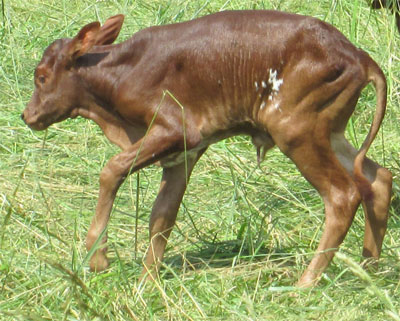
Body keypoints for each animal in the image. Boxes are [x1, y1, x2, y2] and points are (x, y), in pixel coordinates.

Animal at [20, 10, 392, 286]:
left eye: (41, 77)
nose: (28, 115)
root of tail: (359, 56)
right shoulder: (183, 154)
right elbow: (162, 216)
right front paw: (147, 284)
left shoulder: (177, 128)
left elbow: (111, 170)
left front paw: (98, 256)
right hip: (329, 131)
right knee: (377, 178)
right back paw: (369, 271)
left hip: (295, 129)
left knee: (342, 194)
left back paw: (305, 283)